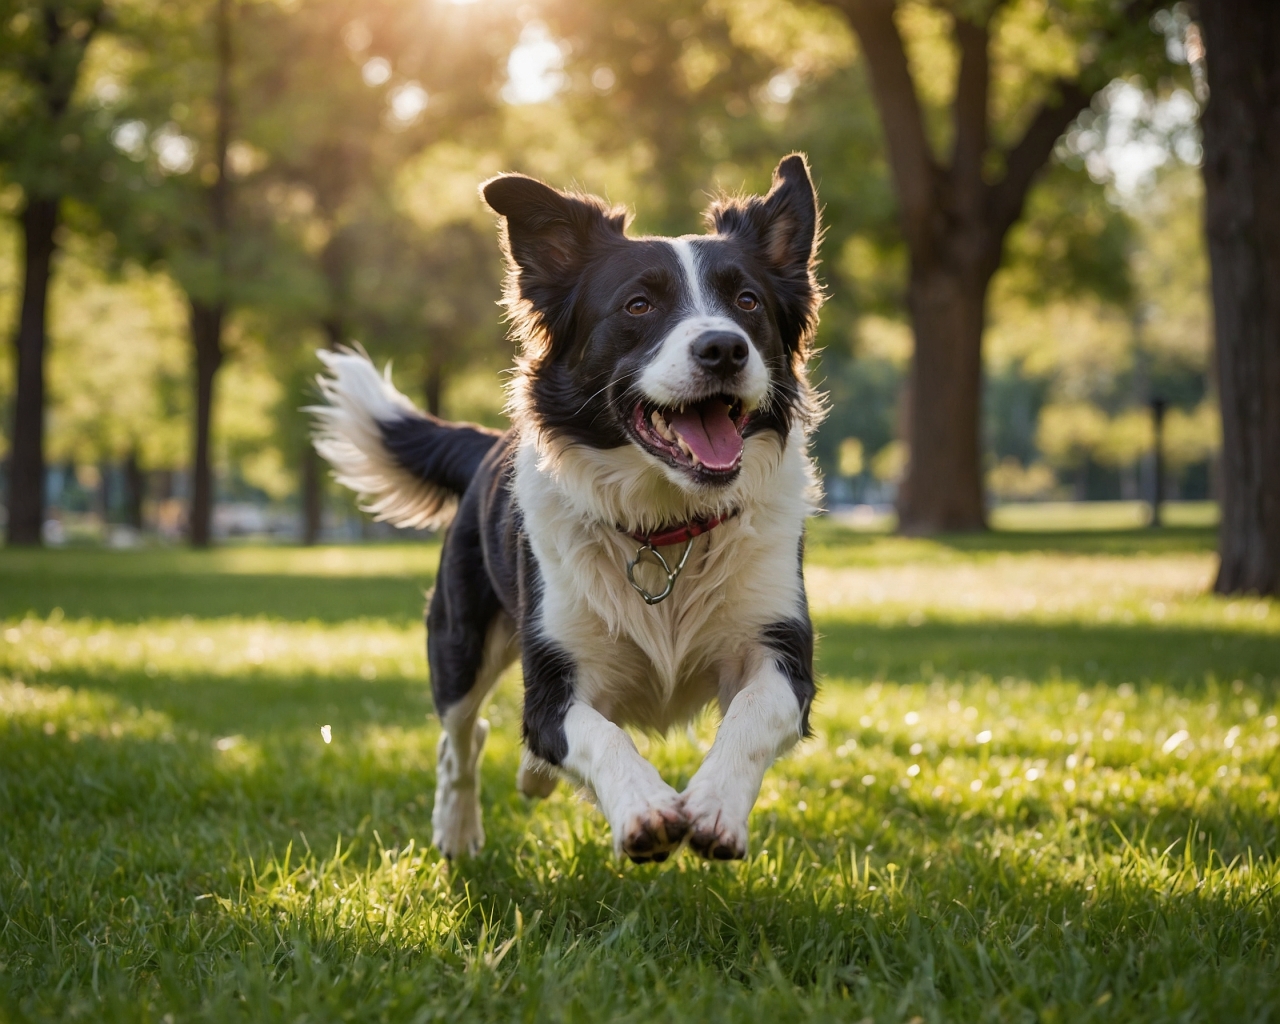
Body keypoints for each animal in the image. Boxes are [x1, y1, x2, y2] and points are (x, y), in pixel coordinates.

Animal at [314, 154, 824, 865]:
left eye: (747, 301)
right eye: (639, 304)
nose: (724, 348)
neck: (665, 525)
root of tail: (484, 442)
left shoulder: (780, 652)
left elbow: (755, 713)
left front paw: (715, 807)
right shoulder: (553, 677)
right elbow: (592, 732)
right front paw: (643, 811)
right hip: (459, 641)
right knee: (462, 737)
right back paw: (458, 830)